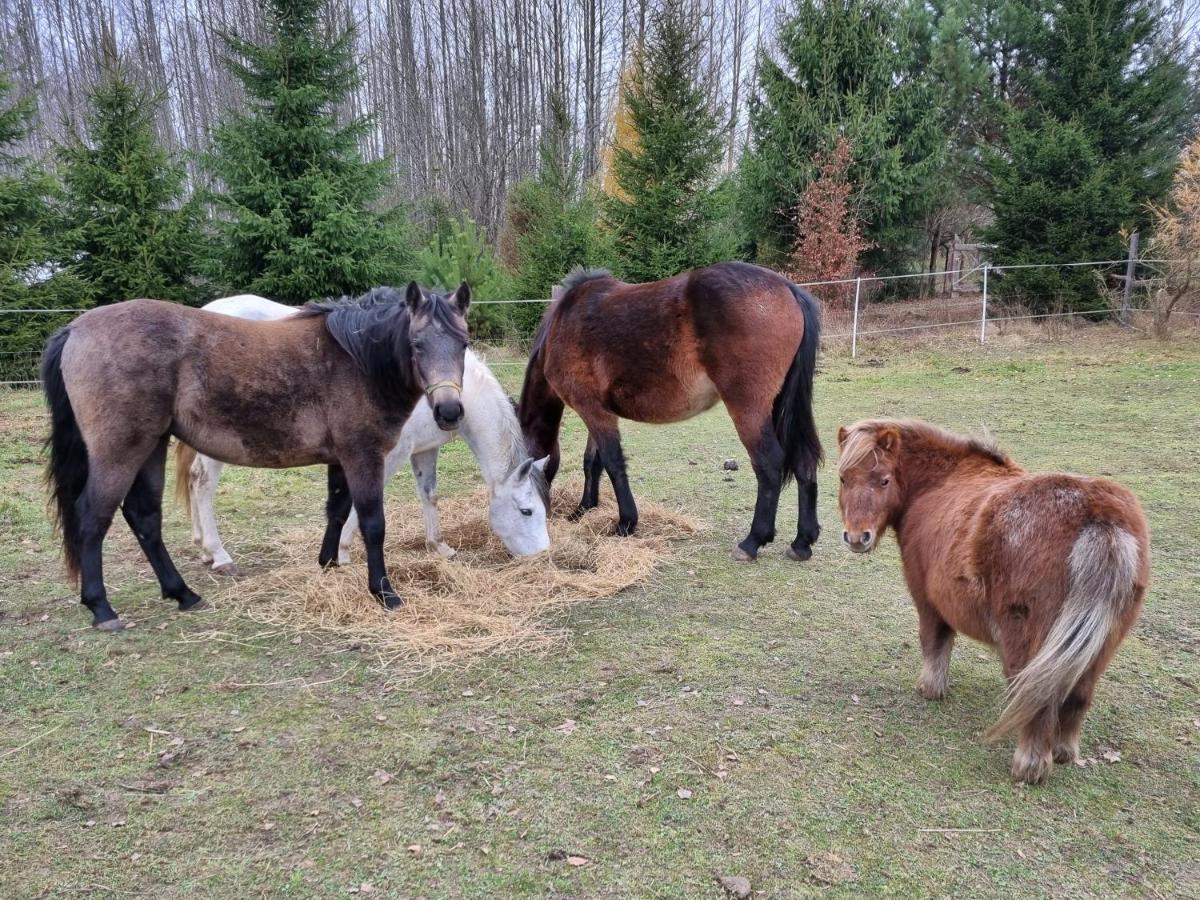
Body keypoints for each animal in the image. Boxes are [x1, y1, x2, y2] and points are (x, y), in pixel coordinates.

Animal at [38, 285, 468, 628]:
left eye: (463, 344)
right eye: (417, 344)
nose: (449, 411)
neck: (356, 359)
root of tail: (75, 330)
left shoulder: (340, 459)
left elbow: (336, 510)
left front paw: (328, 564)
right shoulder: (362, 455)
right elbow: (373, 524)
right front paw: (384, 593)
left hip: (152, 446)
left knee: (144, 517)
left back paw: (183, 594)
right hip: (122, 450)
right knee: (94, 516)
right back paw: (102, 608)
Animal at [180, 296, 549, 578]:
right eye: (527, 511)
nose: (543, 556)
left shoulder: (424, 450)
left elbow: (429, 495)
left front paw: (438, 546)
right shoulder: (383, 454)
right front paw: (342, 553)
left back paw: (202, 548)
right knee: (202, 482)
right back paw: (220, 555)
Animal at [518, 260, 825, 561]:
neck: (563, 323)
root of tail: (787, 288)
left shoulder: (593, 411)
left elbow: (612, 462)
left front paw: (625, 523)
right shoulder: (598, 412)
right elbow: (592, 462)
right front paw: (583, 509)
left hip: (748, 409)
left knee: (769, 464)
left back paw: (752, 542)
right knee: (803, 461)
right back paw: (802, 542)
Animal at [840, 422, 1147, 782]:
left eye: (884, 480)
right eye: (844, 478)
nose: (857, 537)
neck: (938, 483)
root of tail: (1100, 517)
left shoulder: (928, 601)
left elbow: (934, 642)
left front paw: (930, 689)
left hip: (1024, 640)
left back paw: (1029, 766)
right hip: (1101, 646)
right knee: (1079, 695)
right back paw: (1063, 752)